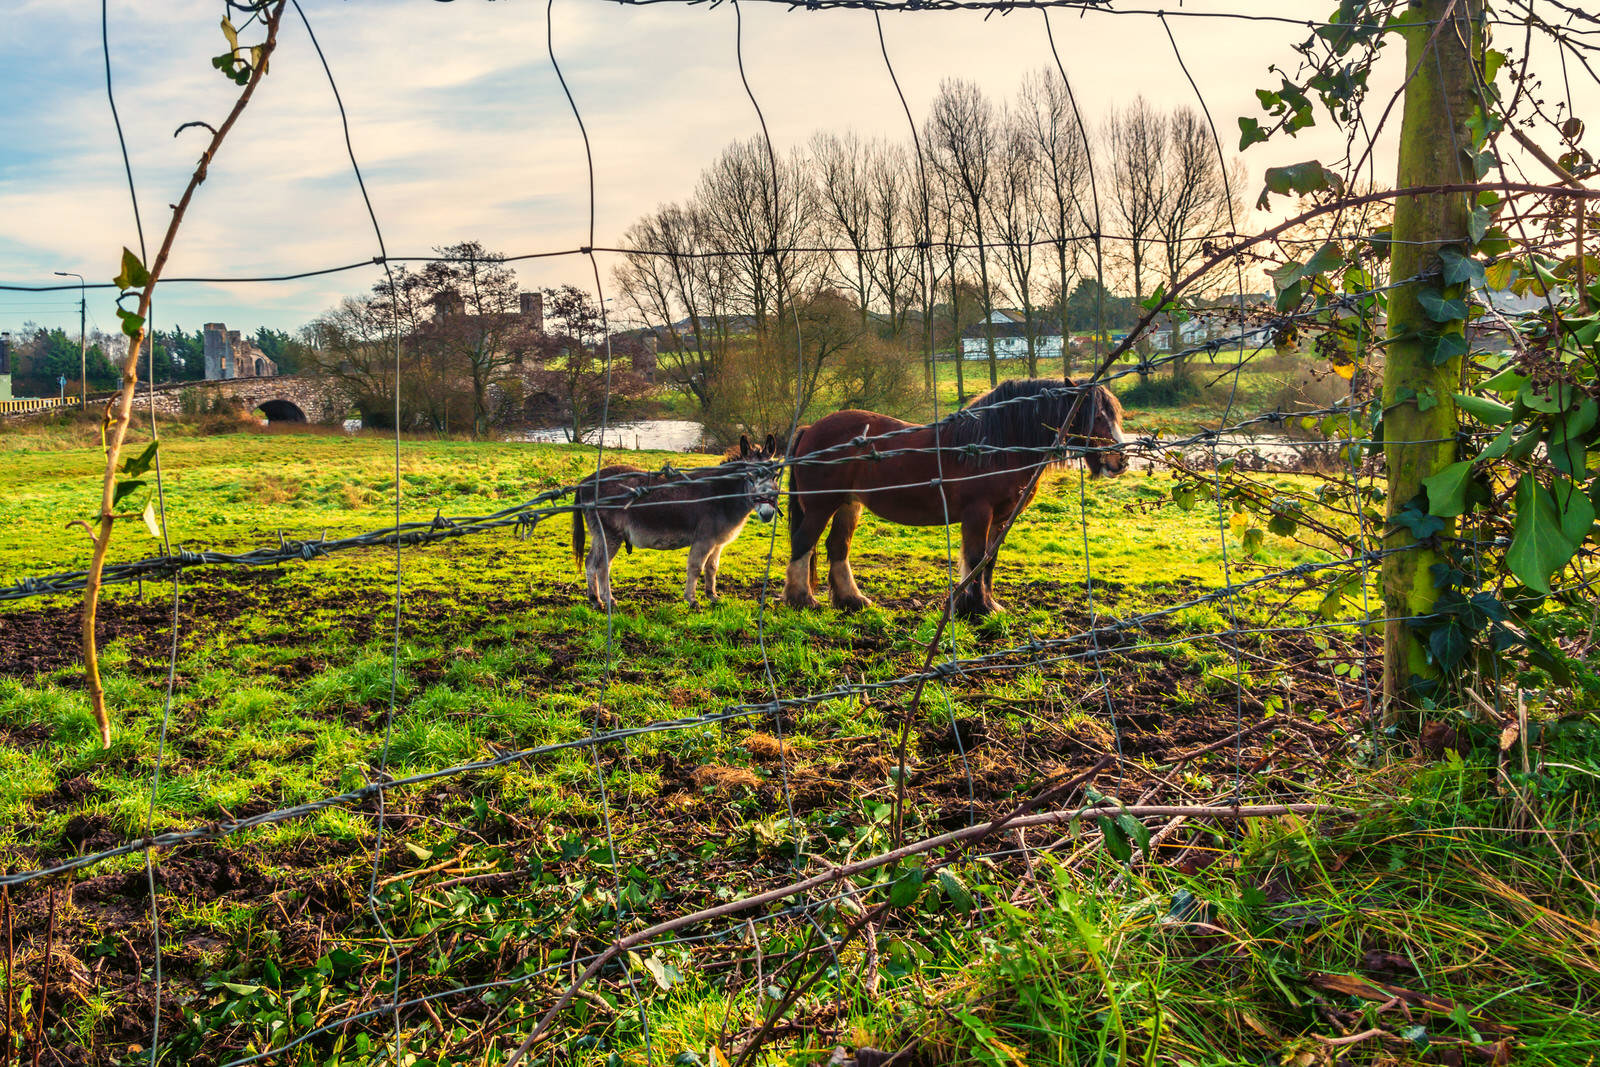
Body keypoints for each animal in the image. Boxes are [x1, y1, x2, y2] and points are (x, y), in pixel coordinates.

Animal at [780, 382, 1120, 617]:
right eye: (1096, 416)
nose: (1120, 461)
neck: (996, 445)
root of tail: (810, 428)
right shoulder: (978, 513)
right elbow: (975, 557)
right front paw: (977, 607)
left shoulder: (1000, 518)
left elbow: (989, 561)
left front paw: (987, 604)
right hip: (821, 506)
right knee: (803, 543)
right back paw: (802, 600)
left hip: (849, 505)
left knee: (838, 547)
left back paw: (852, 600)